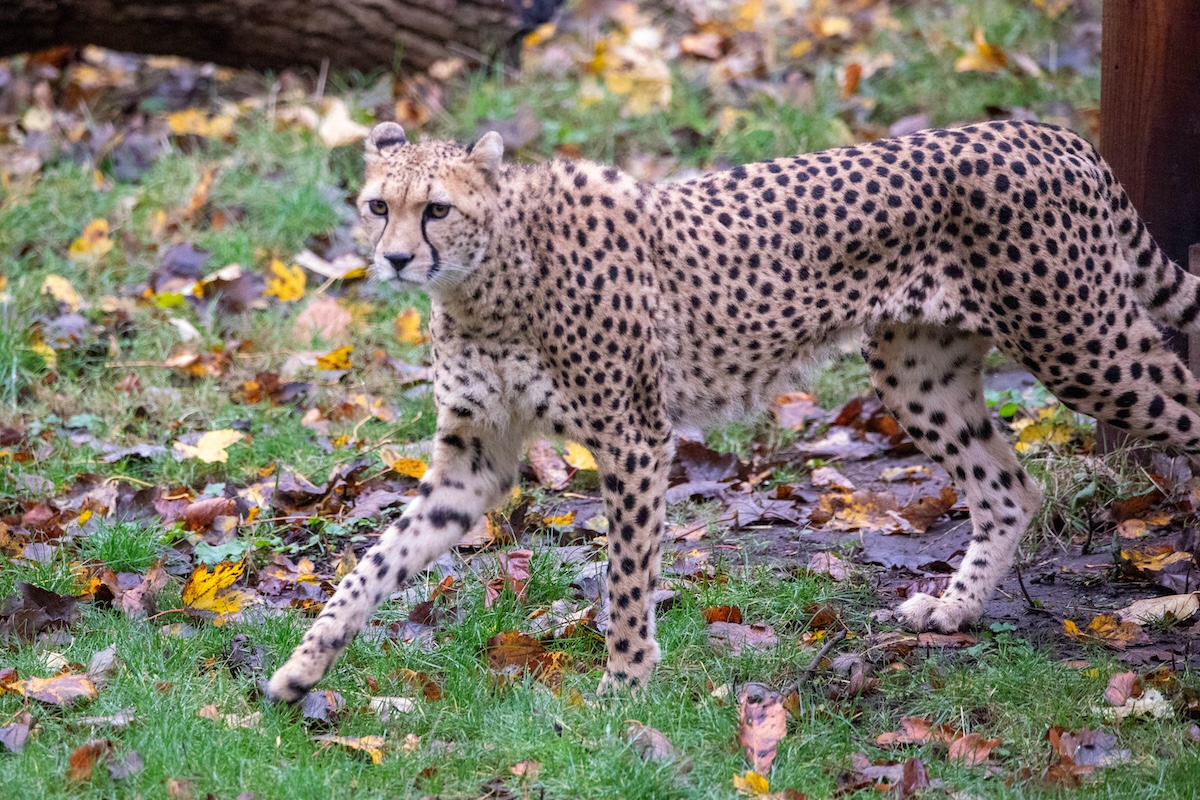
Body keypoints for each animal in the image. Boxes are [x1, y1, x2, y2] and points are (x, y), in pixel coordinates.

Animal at [267, 118, 1200, 701]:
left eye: (437, 209)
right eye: (378, 205)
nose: (394, 259)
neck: (488, 281)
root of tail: (1048, 132)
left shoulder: (634, 438)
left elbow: (626, 578)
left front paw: (624, 687)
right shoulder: (476, 457)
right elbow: (375, 560)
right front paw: (303, 667)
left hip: (1084, 344)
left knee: (1182, 406)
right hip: (917, 371)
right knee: (1010, 487)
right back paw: (955, 608)